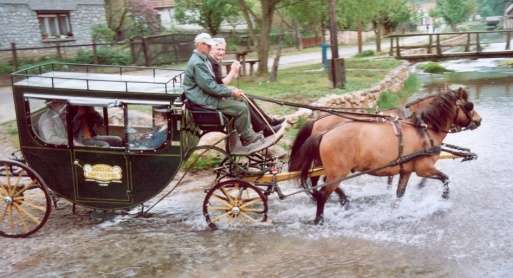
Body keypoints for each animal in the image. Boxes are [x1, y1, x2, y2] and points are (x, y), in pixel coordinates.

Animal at [290, 89, 482, 224]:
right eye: (469, 106)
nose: (479, 120)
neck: (424, 129)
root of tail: (325, 132)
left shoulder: (406, 170)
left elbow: (399, 194)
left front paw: (395, 210)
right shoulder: (424, 168)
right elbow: (445, 179)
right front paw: (443, 197)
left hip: (331, 169)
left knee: (319, 183)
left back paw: (339, 201)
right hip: (337, 172)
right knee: (323, 192)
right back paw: (320, 218)